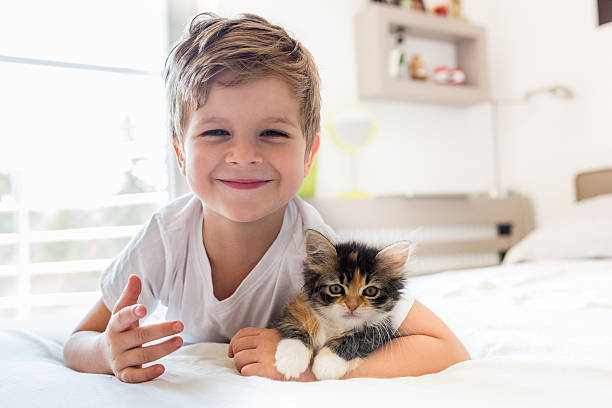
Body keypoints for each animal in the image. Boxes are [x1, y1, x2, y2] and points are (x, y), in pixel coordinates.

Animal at [274, 230, 412, 380]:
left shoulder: (381, 329)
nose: (352, 306)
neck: (338, 324)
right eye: (336, 289)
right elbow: (296, 325)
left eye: (370, 291)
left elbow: (357, 338)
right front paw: (291, 360)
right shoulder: (298, 307)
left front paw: (327, 364)